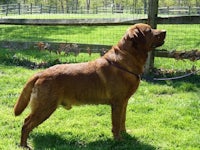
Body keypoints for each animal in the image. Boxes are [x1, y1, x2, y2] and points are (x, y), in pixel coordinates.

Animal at [14, 23, 166, 149]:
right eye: (149, 30)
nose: (165, 31)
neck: (124, 62)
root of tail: (40, 73)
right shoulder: (117, 103)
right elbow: (116, 123)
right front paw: (118, 140)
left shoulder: (124, 102)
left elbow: (123, 120)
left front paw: (125, 134)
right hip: (45, 107)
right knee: (26, 123)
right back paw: (24, 145)